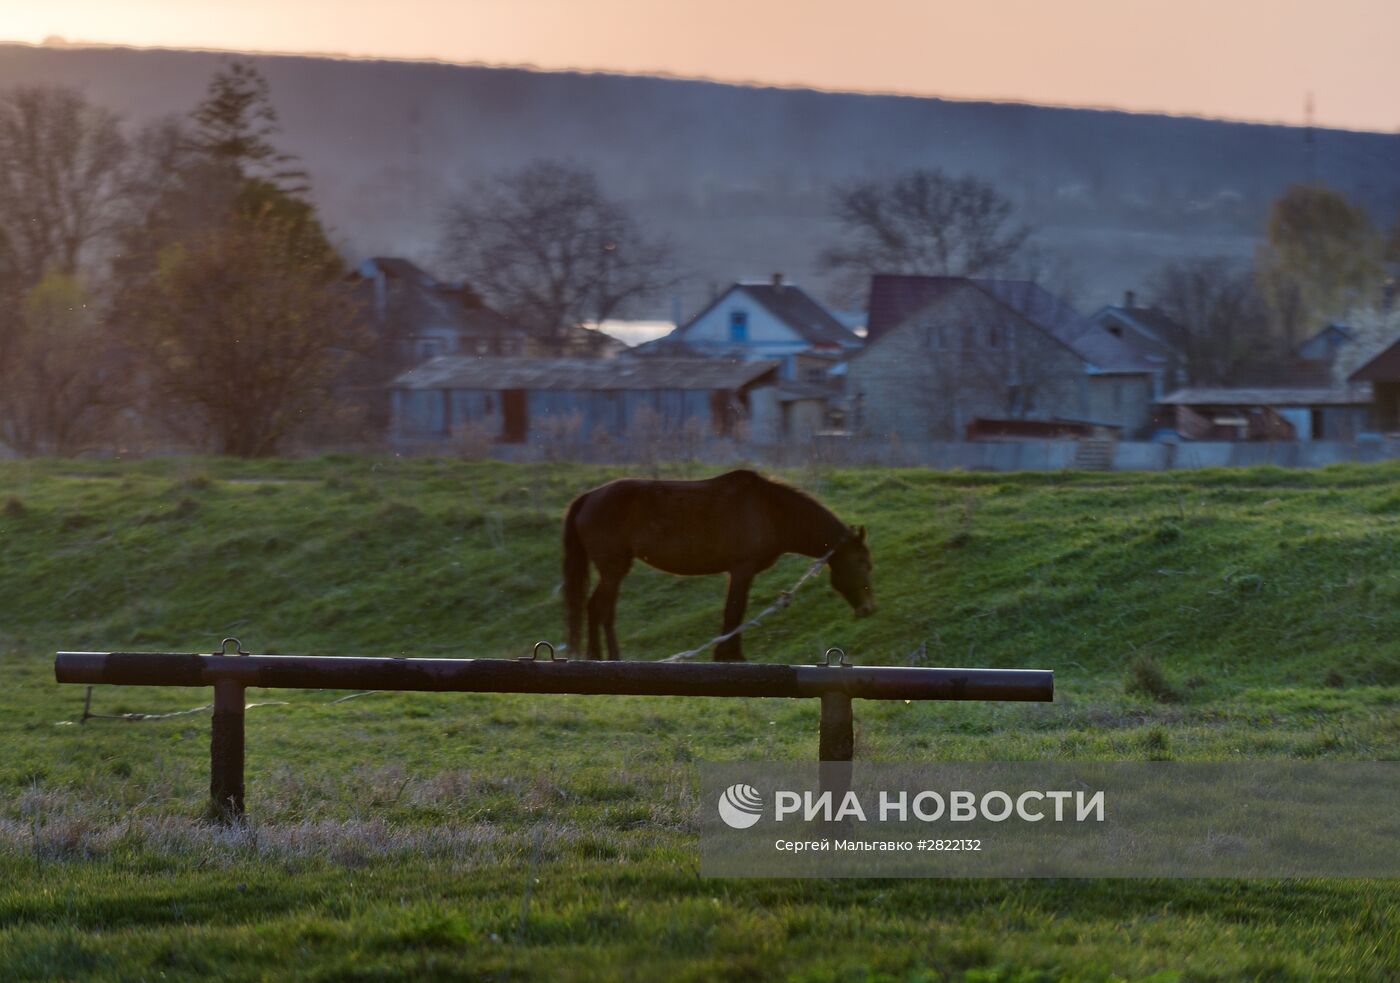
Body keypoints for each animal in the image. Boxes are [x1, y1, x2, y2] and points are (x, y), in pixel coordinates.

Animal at [560, 470, 873, 660]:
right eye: (864, 563)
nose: (869, 609)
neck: (771, 510)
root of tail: (589, 497)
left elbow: (733, 613)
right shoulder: (742, 570)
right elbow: (734, 611)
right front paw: (730, 656)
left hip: (612, 570)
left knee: (598, 608)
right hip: (614, 570)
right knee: (600, 608)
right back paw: (605, 657)